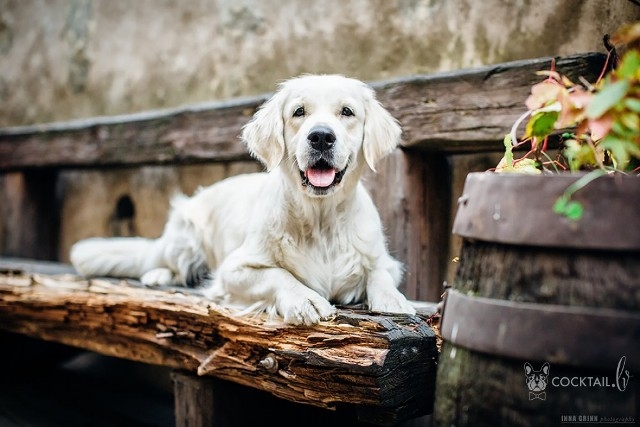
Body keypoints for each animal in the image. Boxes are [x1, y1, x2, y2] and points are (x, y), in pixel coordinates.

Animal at [71, 75, 416, 326]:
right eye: (299, 112)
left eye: (347, 112)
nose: (320, 136)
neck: (320, 219)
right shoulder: (233, 268)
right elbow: (277, 274)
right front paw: (304, 299)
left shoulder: (384, 259)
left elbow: (379, 273)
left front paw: (393, 299)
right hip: (185, 234)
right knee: (160, 260)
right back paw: (159, 274)